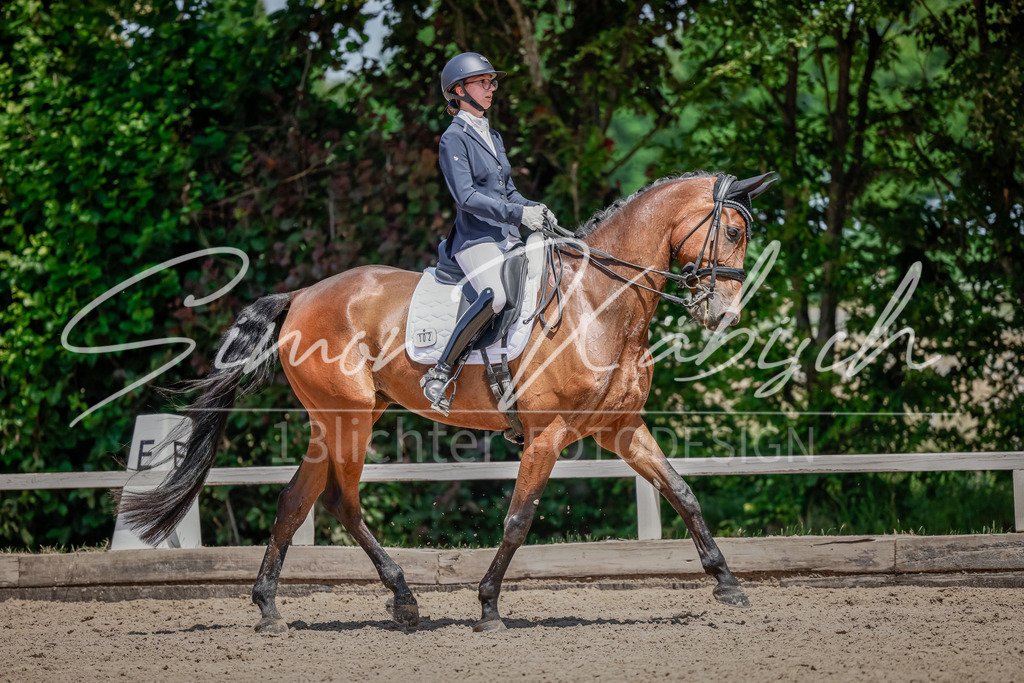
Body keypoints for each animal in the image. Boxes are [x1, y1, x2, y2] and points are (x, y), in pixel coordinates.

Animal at [119, 170, 777, 633]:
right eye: (734, 232)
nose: (724, 315)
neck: (598, 302)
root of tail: (302, 295)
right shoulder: (548, 434)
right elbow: (518, 520)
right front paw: (487, 608)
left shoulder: (619, 428)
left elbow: (683, 492)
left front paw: (728, 584)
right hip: (348, 420)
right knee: (338, 501)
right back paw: (398, 600)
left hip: (338, 420)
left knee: (296, 502)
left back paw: (276, 609)